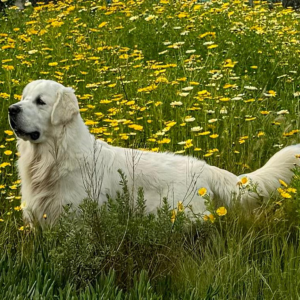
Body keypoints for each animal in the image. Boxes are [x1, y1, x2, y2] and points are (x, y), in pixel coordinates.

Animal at [7, 79, 300, 225]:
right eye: (23, 98)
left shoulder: (75, 222)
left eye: (40, 102)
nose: (11, 109)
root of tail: (204, 167)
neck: (52, 156)